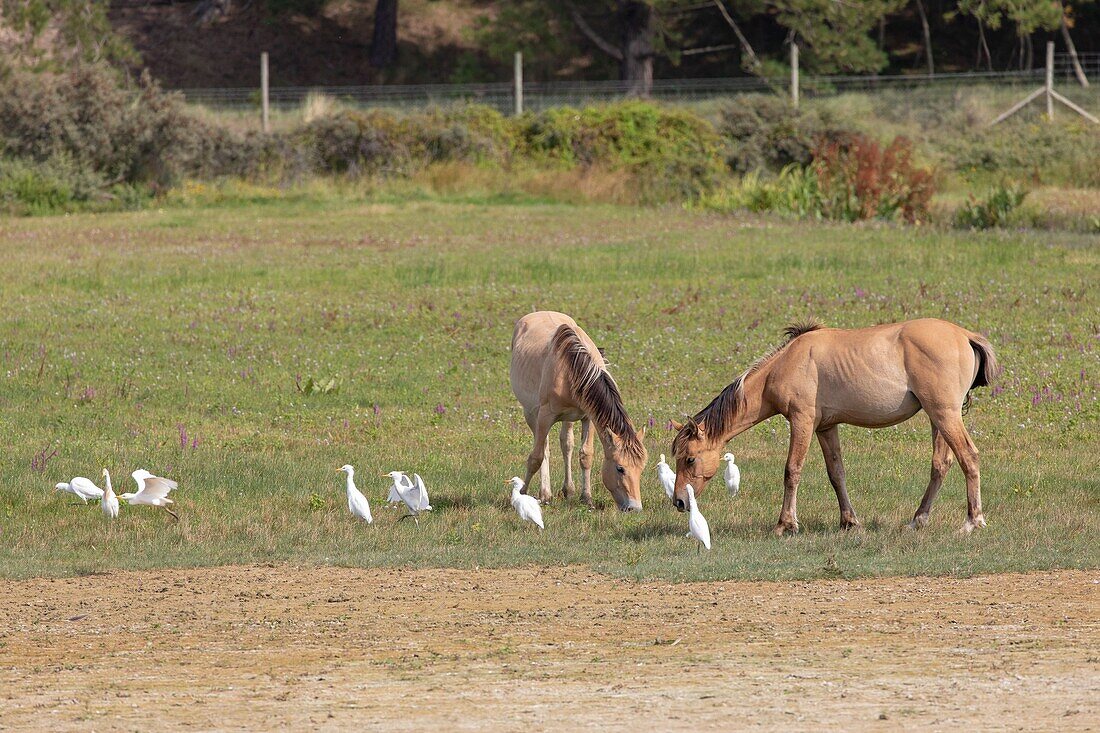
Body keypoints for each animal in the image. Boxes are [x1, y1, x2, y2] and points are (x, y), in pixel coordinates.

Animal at [510, 310, 646, 510]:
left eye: (641, 467)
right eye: (620, 468)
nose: (634, 507)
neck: (570, 367)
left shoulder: (588, 417)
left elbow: (585, 455)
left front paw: (586, 497)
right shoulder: (544, 416)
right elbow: (536, 457)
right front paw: (522, 493)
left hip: (568, 419)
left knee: (566, 444)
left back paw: (568, 490)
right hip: (531, 414)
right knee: (543, 447)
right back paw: (545, 494)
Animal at [673, 316, 1003, 534]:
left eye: (689, 458)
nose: (678, 501)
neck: (786, 364)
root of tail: (965, 335)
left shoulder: (802, 422)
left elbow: (792, 472)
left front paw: (785, 524)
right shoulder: (825, 428)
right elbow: (836, 474)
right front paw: (849, 521)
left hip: (945, 415)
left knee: (968, 457)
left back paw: (972, 521)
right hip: (938, 418)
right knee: (941, 464)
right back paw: (917, 519)